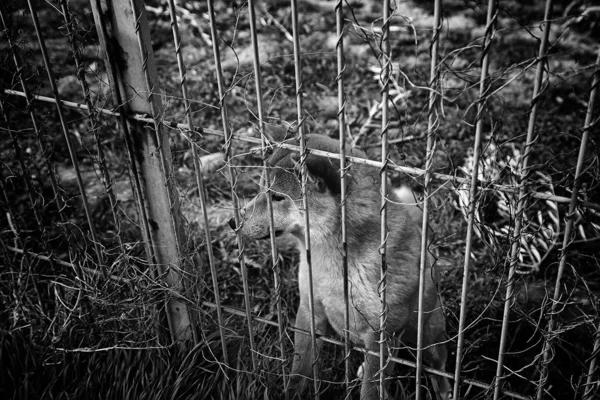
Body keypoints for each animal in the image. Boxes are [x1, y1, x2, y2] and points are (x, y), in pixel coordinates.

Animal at [230, 129, 450, 400]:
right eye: (261, 189)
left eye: (277, 197)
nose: (232, 221)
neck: (332, 263)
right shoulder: (309, 311)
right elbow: (299, 373)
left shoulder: (381, 335)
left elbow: (370, 390)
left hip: (427, 338)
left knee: (438, 364)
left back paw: (445, 389)